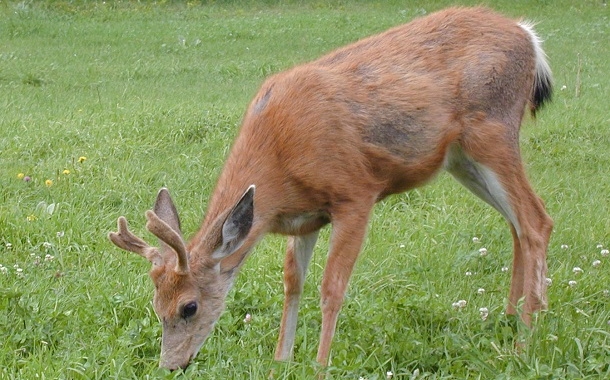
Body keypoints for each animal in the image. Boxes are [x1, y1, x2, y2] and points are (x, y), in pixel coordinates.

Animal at [108, 6, 552, 372]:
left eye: (189, 307)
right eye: (156, 305)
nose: (171, 365)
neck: (278, 160)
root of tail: (529, 36)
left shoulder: (355, 193)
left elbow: (332, 287)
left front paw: (320, 365)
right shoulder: (305, 218)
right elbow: (293, 283)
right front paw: (281, 361)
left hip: (492, 131)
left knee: (536, 220)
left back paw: (526, 340)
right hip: (461, 159)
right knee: (515, 224)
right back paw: (510, 319)